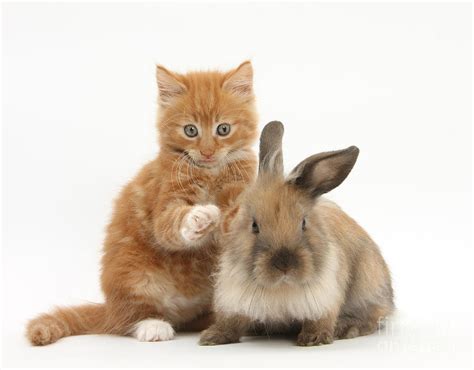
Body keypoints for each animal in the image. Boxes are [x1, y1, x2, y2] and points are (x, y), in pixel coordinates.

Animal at [27, 60, 258, 344]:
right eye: (190, 130)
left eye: (223, 129)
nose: (207, 152)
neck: (210, 172)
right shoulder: (164, 199)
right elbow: (169, 225)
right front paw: (199, 217)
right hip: (133, 273)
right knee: (128, 319)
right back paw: (152, 325)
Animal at [199, 121, 392, 346]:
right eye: (254, 225)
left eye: (304, 223)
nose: (285, 264)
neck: (282, 287)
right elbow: (231, 322)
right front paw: (212, 337)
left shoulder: (325, 299)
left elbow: (321, 320)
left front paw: (314, 338)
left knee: (373, 315)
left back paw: (348, 328)